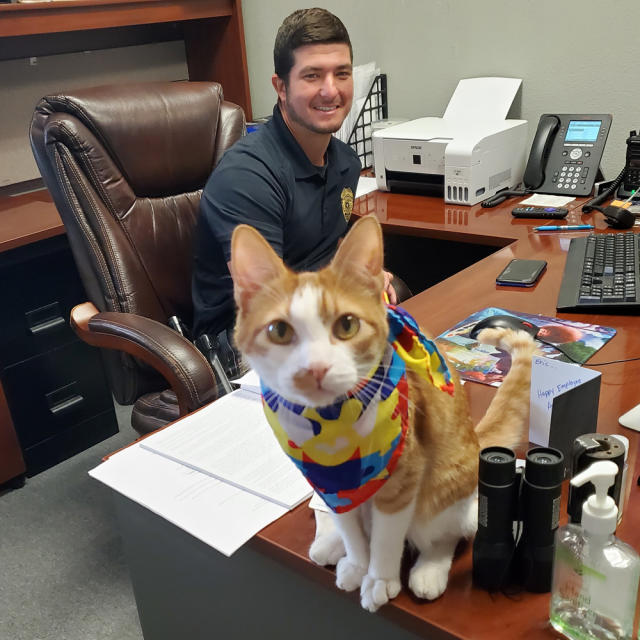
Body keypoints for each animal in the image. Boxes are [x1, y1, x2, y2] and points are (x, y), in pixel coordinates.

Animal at [230, 214, 536, 608]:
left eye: (347, 325)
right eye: (278, 331)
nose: (314, 369)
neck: (333, 431)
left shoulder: (404, 476)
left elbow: (388, 536)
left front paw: (379, 577)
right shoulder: (332, 484)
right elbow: (350, 526)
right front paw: (357, 561)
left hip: (446, 483)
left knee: (447, 528)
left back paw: (429, 568)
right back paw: (332, 545)